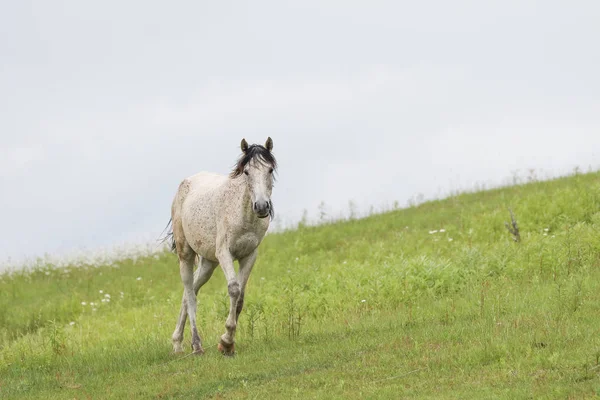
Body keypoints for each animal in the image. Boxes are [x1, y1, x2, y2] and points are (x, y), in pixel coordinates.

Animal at [164, 138, 276, 356]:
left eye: (270, 169)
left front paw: (228, 342)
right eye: (246, 172)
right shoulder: (225, 253)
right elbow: (233, 289)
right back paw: (196, 345)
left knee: (189, 293)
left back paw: (178, 344)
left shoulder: (249, 255)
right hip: (186, 254)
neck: (243, 214)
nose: (261, 207)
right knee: (190, 293)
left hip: (208, 263)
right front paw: (226, 341)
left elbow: (240, 296)